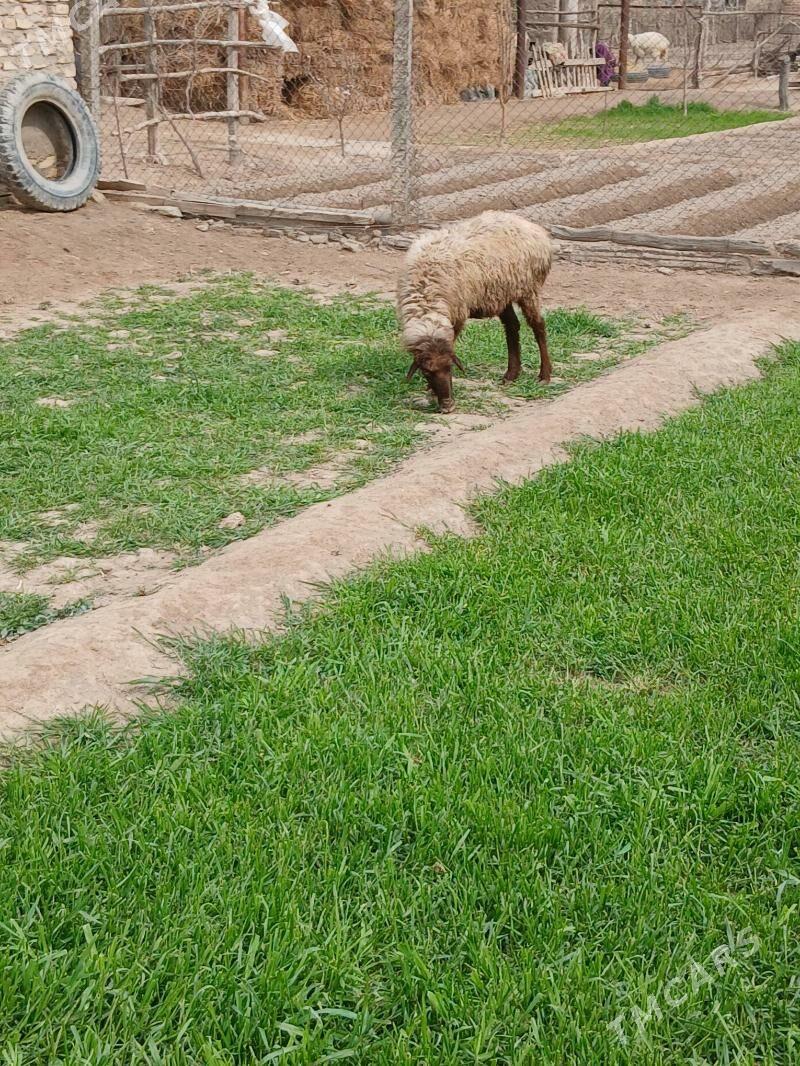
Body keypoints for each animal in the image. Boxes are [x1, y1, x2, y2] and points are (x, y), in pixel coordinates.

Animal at [397, 211, 553, 414]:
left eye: (450, 368)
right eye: (426, 372)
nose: (448, 405)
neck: (427, 301)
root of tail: (534, 229)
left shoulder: (457, 315)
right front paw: (431, 391)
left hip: (528, 288)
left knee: (538, 326)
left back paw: (544, 375)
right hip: (502, 292)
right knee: (512, 326)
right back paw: (511, 375)